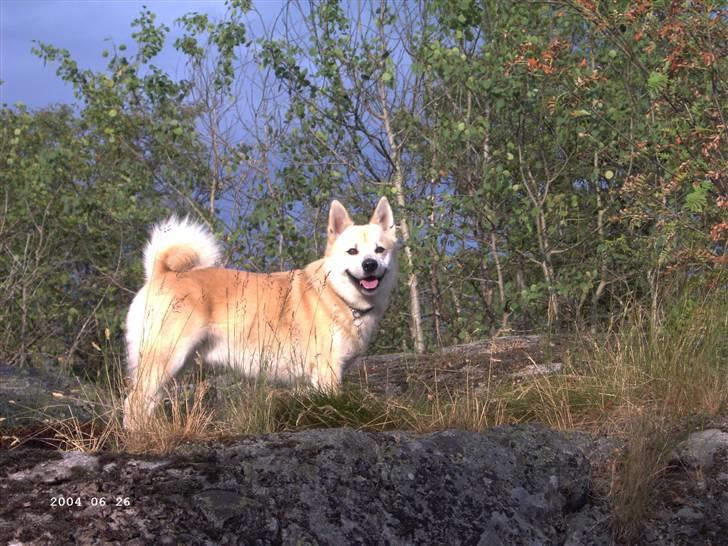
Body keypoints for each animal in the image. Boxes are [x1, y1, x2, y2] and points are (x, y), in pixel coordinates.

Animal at [123, 196, 398, 424]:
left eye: (379, 250)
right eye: (352, 251)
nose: (370, 264)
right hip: (166, 359)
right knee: (133, 402)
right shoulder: (327, 372)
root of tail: (162, 273)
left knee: (147, 402)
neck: (336, 294)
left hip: (175, 366)